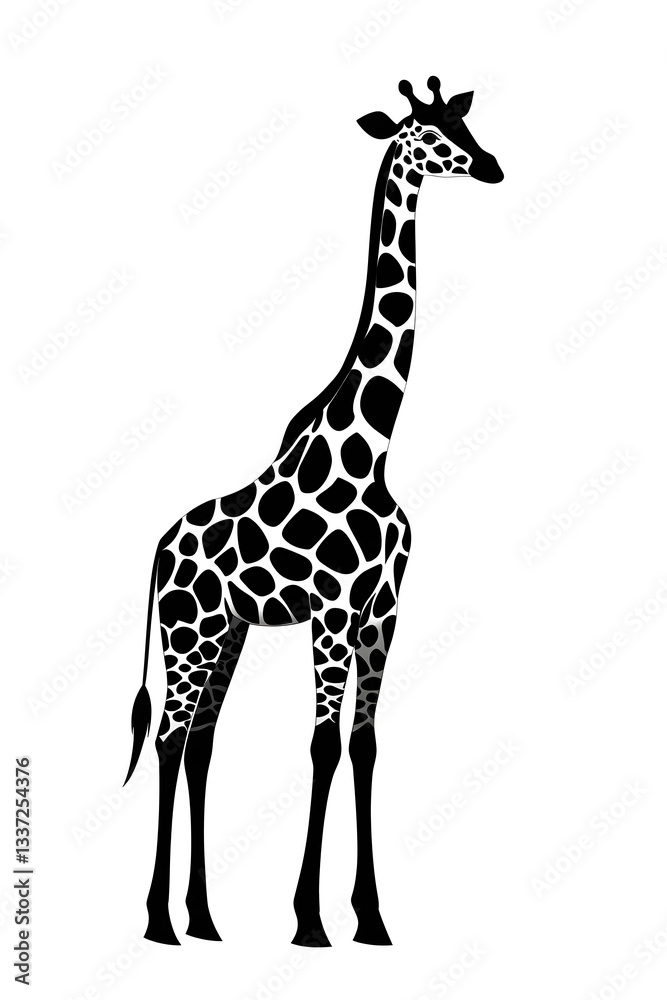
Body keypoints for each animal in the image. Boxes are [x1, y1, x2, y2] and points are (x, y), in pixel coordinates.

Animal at [123, 76, 503, 949]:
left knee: (201, 744)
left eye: (464, 122)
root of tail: (159, 547)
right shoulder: (331, 611)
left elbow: (363, 747)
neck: (373, 449)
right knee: (168, 737)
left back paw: (204, 918)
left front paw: (371, 919)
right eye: (429, 136)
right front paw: (309, 921)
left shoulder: (381, 611)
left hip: (226, 631)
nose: (493, 166)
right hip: (189, 630)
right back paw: (158, 919)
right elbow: (323, 745)